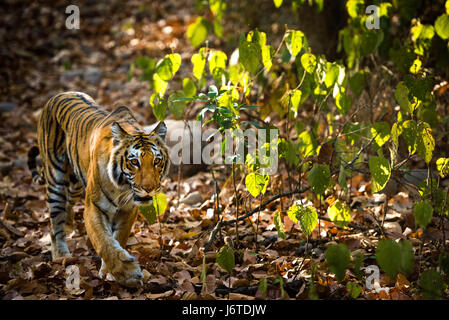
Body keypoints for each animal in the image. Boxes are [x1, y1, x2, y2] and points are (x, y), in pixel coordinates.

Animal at [27, 90, 170, 288]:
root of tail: (59, 94)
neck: (121, 187)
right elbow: (103, 241)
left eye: (156, 161)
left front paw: (110, 272)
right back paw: (61, 255)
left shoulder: (128, 210)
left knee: (68, 204)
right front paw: (127, 273)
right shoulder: (93, 208)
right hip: (55, 179)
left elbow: (117, 238)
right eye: (134, 162)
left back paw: (69, 225)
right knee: (54, 223)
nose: (149, 188)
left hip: (76, 184)